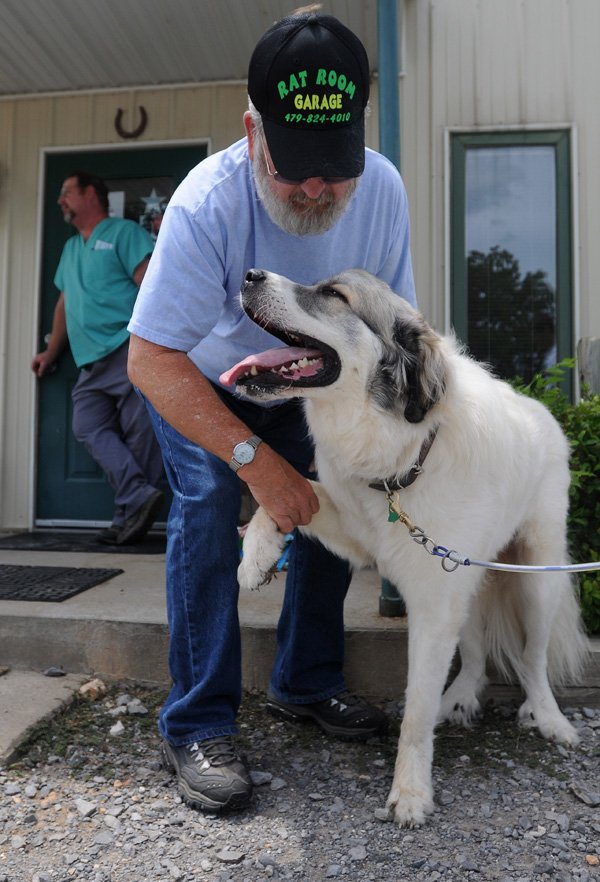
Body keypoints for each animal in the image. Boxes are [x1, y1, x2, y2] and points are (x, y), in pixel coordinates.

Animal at [219, 268, 584, 824]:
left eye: (334, 295)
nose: (250, 274)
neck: (402, 450)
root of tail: (542, 410)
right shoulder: (359, 531)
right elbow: (292, 493)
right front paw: (258, 554)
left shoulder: (433, 606)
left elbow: (415, 713)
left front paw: (410, 793)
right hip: (466, 578)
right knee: (474, 654)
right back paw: (460, 699)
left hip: (535, 578)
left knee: (533, 658)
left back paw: (548, 719)